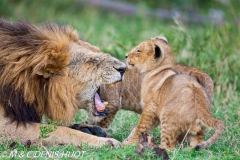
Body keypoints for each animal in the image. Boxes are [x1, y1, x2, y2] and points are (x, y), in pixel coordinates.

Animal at [0, 19, 126, 148]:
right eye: (92, 61)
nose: (123, 68)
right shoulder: (6, 127)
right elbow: (60, 130)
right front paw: (106, 142)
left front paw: (90, 129)